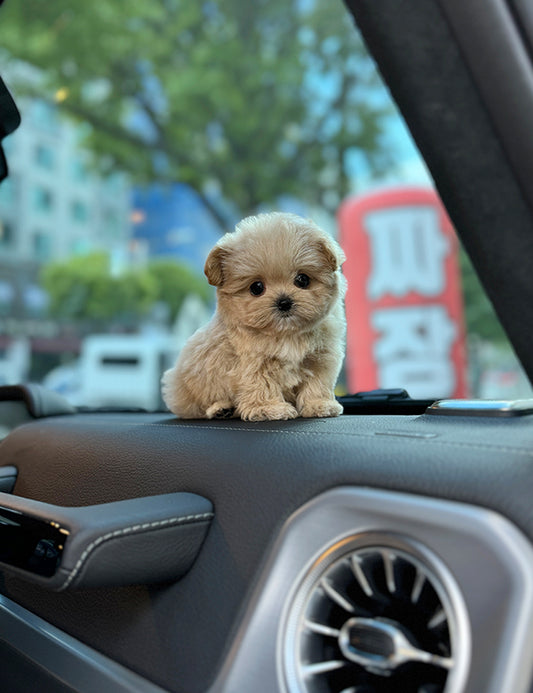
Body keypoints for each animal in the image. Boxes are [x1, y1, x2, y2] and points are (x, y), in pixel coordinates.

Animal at [160, 211, 348, 418]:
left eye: (303, 280)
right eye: (256, 288)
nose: (284, 302)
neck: (285, 334)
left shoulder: (321, 358)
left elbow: (317, 384)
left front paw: (319, 405)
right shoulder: (254, 363)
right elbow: (262, 385)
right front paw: (270, 408)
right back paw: (220, 409)